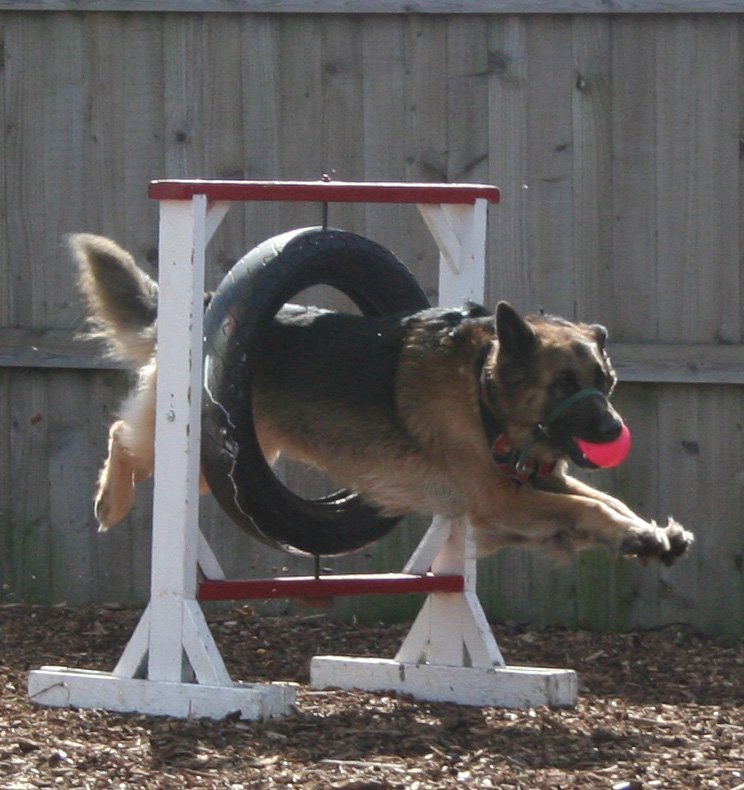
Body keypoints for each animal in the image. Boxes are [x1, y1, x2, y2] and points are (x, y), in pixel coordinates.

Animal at [72, 232, 696, 568]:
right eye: (563, 384)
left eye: (604, 382)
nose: (613, 432)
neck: (483, 393)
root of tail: (202, 304)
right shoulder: (503, 500)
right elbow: (589, 507)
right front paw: (636, 532)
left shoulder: (537, 486)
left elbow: (604, 501)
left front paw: (650, 534)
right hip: (186, 444)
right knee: (122, 439)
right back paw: (109, 502)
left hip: (222, 468)